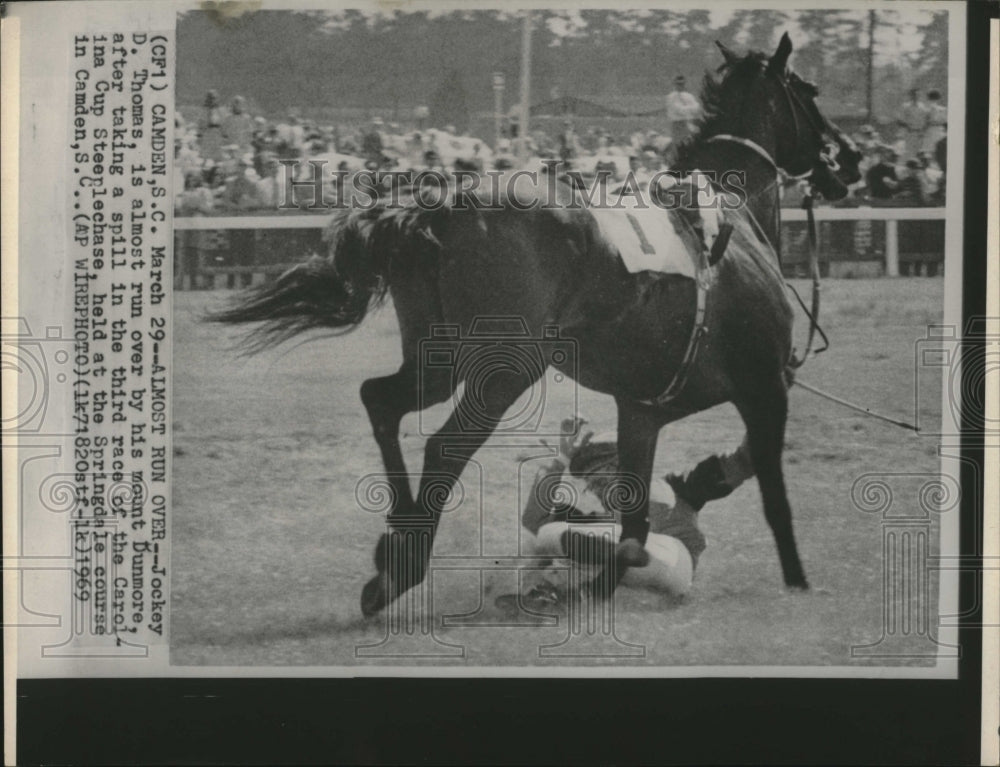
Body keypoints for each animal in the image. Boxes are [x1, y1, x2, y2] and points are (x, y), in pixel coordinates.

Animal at [211, 36, 860, 620]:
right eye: (810, 91)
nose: (849, 157)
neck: (727, 221)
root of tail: (440, 205)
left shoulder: (643, 410)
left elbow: (637, 518)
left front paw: (608, 575)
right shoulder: (765, 386)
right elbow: (770, 488)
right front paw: (798, 579)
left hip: (439, 359)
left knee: (381, 400)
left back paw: (397, 547)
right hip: (507, 368)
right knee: (445, 445)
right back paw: (406, 563)